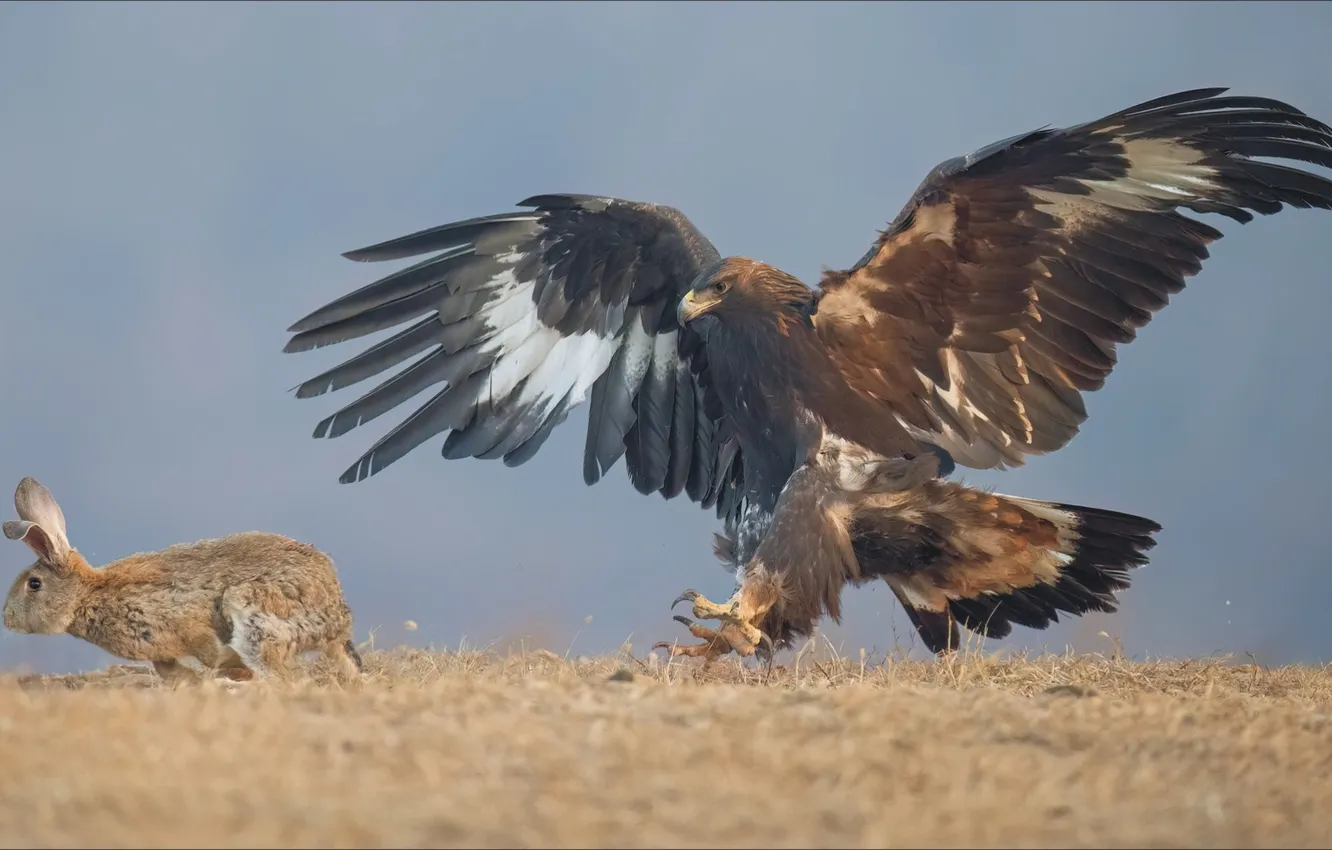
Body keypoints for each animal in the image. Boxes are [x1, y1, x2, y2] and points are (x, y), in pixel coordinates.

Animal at [2, 476, 363, 687]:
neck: (88, 595)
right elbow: (170, 670)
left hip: (252, 615)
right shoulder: (160, 652)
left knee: (281, 679)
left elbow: (210, 653)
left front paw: (222, 674)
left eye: (34, 584)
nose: (7, 619)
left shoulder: (185, 623)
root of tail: (337, 622)